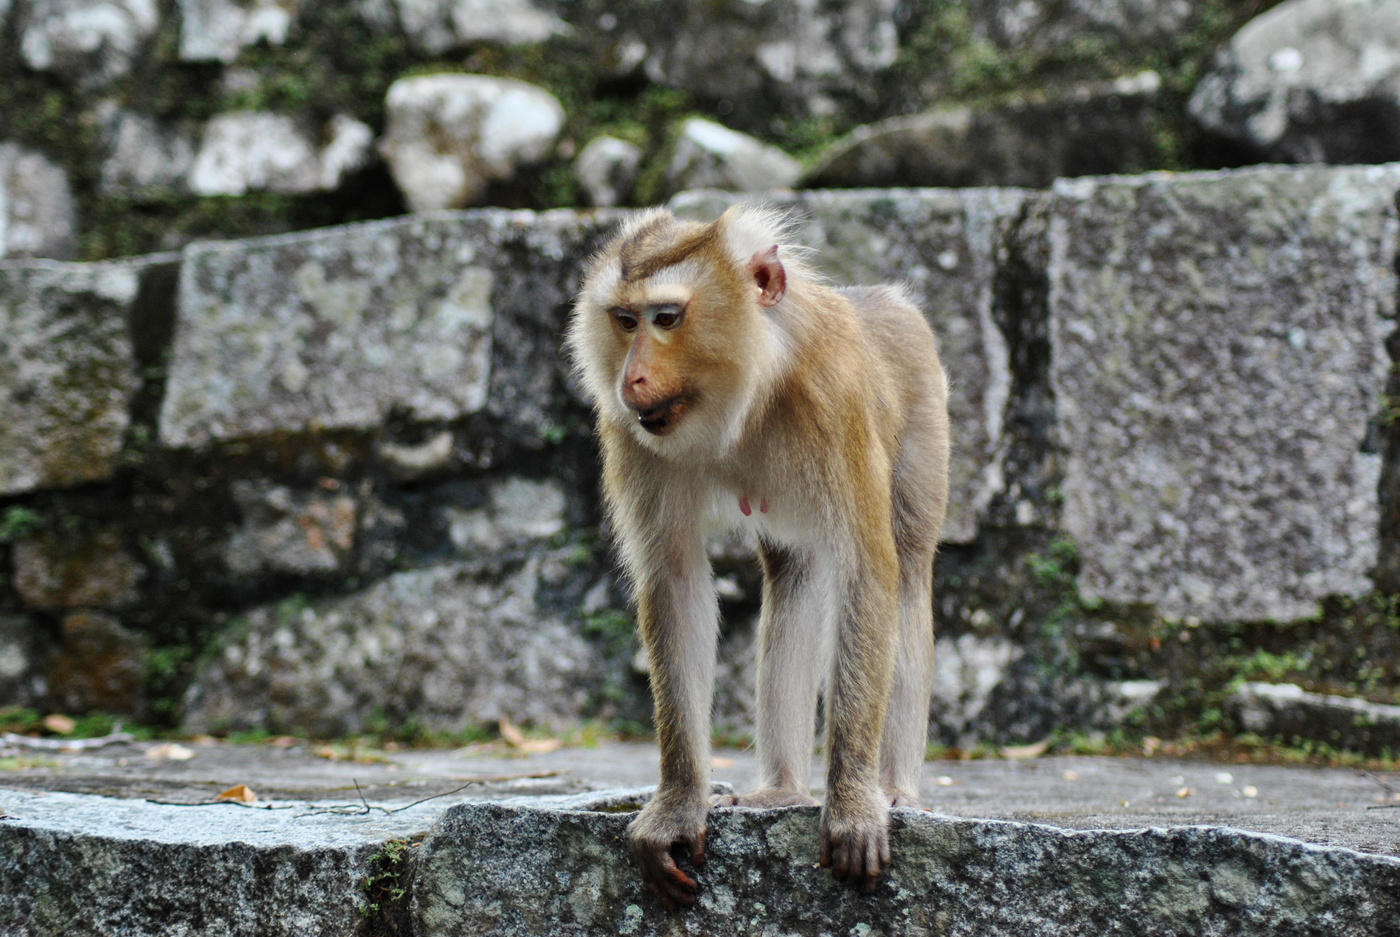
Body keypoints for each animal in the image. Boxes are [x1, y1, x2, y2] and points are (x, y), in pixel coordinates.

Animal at [568, 204, 952, 907]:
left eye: (668, 318)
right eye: (625, 319)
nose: (630, 377)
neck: (750, 388)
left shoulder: (835, 401)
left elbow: (868, 572)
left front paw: (852, 804)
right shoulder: (631, 431)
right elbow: (676, 580)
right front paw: (677, 804)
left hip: (922, 406)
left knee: (908, 573)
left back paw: (893, 791)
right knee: (795, 576)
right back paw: (782, 790)